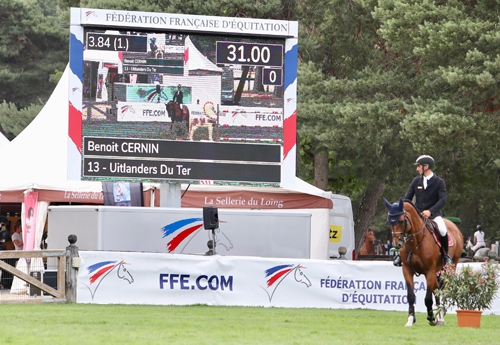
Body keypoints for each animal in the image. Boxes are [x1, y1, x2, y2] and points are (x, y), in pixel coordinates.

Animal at [384, 198, 462, 326]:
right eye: (389, 222)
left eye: (401, 221)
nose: (396, 244)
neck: (414, 242)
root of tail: (454, 227)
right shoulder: (407, 270)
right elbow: (411, 296)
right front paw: (411, 319)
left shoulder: (429, 271)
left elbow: (428, 298)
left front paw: (431, 318)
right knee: (437, 289)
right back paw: (439, 316)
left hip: (449, 268)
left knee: (443, 290)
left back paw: (440, 317)